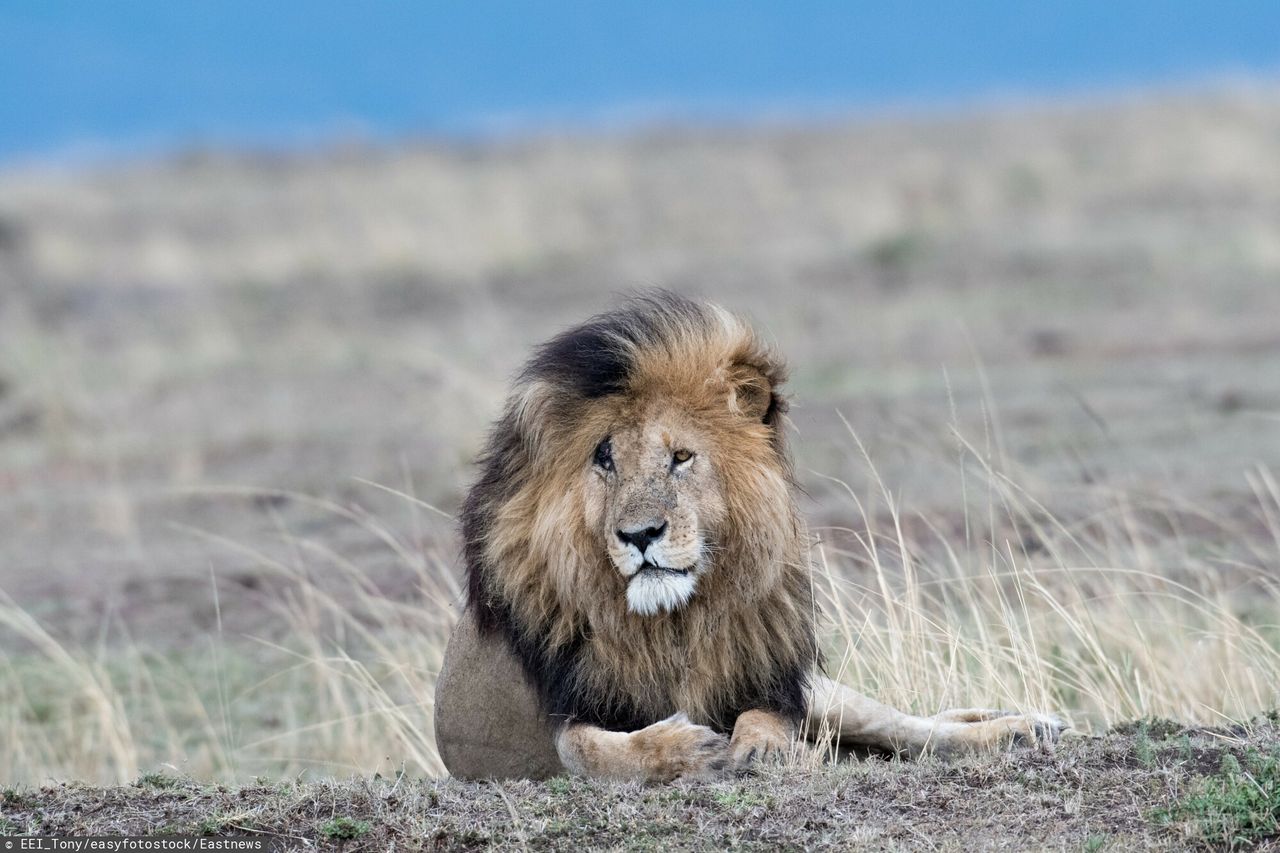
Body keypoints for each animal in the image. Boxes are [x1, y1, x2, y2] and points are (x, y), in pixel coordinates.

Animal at [435, 290, 1064, 778]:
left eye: (681, 457)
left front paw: (763, 748)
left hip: (827, 695)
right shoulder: (564, 711)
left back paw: (1023, 727)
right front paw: (689, 750)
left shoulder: (768, 679)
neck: (674, 624)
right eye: (604, 459)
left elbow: (764, 717)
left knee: (911, 726)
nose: (640, 535)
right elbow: (586, 750)